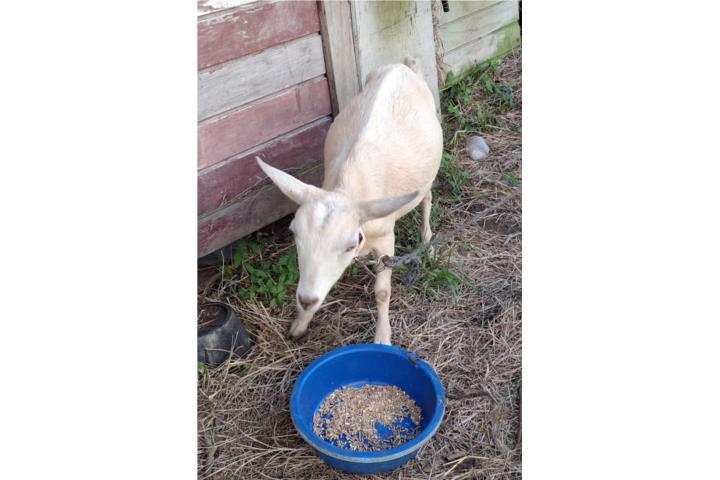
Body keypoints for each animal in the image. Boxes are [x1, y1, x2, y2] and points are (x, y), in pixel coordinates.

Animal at [256, 57, 442, 345]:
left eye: (350, 244)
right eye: (294, 233)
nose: (306, 299)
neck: (349, 188)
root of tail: (403, 66)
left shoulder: (386, 236)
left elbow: (382, 292)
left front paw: (382, 338)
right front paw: (300, 324)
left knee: (428, 198)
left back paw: (427, 242)